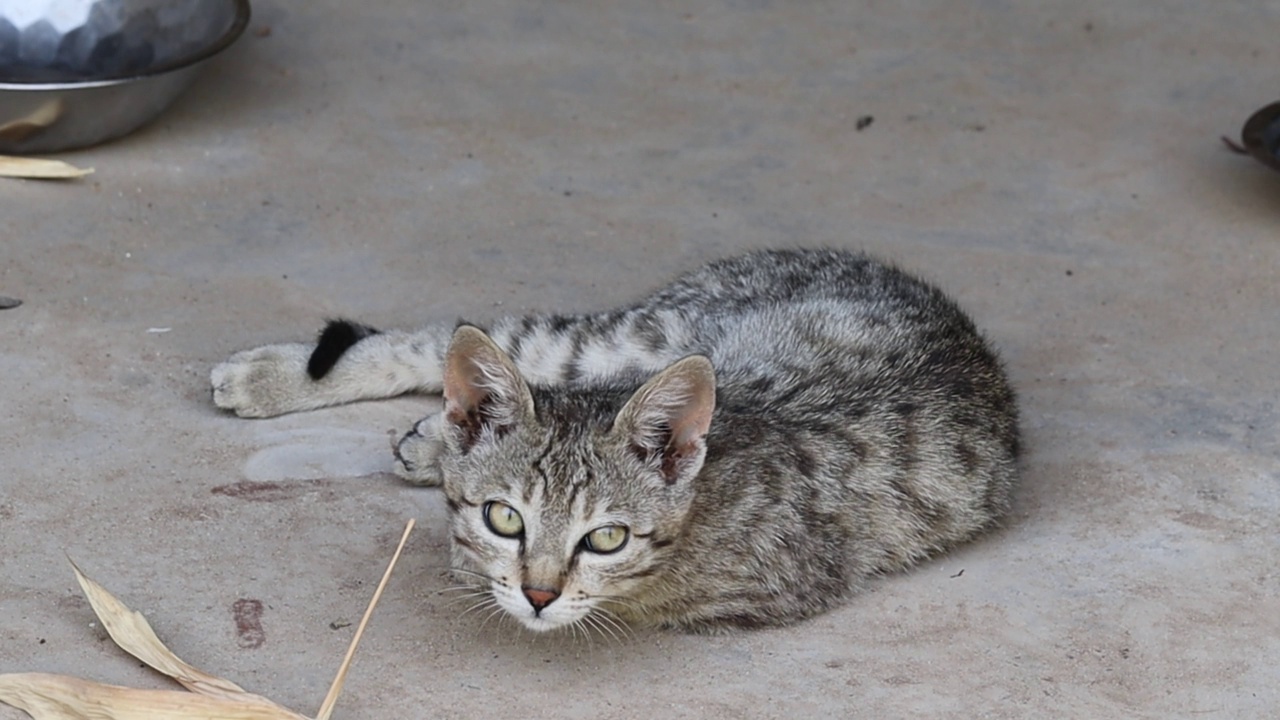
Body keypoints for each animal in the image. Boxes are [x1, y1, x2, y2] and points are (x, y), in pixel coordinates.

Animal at [217, 249, 1018, 630]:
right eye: (507, 517)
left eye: (605, 537)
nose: (538, 594)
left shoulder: (765, 591)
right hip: (637, 333)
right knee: (462, 335)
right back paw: (272, 376)